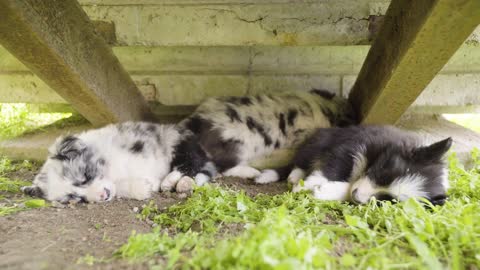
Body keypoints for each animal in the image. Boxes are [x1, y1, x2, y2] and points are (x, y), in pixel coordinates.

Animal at [256, 125, 452, 206]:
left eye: (387, 200)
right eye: (383, 172)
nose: (357, 197)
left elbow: (346, 187)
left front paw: (325, 191)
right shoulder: (353, 147)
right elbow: (333, 167)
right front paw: (308, 185)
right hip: (318, 141)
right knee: (301, 161)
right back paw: (295, 176)